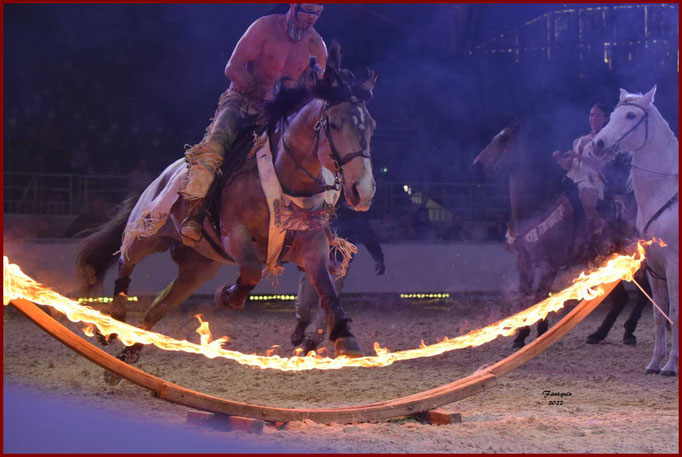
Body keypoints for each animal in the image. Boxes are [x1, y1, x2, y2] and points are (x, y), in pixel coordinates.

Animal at [77, 44, 380, 380]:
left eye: (371, 126)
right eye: (335, 124)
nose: (363, 190)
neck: (284, 176)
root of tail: (161, 177)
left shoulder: (312, 246)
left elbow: (326, 287)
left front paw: (345, 337)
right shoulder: (235, 235)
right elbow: (250, 271)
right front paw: (227, 294)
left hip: (197, 267)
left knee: (160, 304)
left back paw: (126, 355)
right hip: (149, 233)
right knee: (125, 261)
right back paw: (114, 318)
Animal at [472, 116, 632, 348]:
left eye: (504, 142)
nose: (477, 166)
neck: (538, 205)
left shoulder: (550, 264)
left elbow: (539, 296)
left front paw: (538, 332)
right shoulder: (524, 263)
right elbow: (526, 297)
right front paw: (521, 336)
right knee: (623, 299)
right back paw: (602, 334)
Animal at [588, 84, 676, 374]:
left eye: (630, 116)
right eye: (613, 114)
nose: (598, 143)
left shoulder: (673, 266)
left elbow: (674, 313)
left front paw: (671, 365)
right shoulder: (654, 268)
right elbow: (660, 314)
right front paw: (655, 363)